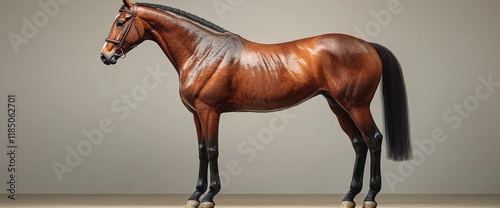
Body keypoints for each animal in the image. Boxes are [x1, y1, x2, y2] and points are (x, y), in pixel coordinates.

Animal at [100, 0, 410, 207]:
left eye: (120, 22)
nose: (105, 56)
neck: (203, 50)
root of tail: (367, 45)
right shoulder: (196, 114)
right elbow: (200, 151)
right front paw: (195, 194)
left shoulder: (209, 111)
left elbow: (212, 150)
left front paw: (210, 195)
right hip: (337, 106)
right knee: (358, 144)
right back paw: (349, 196)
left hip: (357, 105)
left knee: (373, 139)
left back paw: (370, 195)